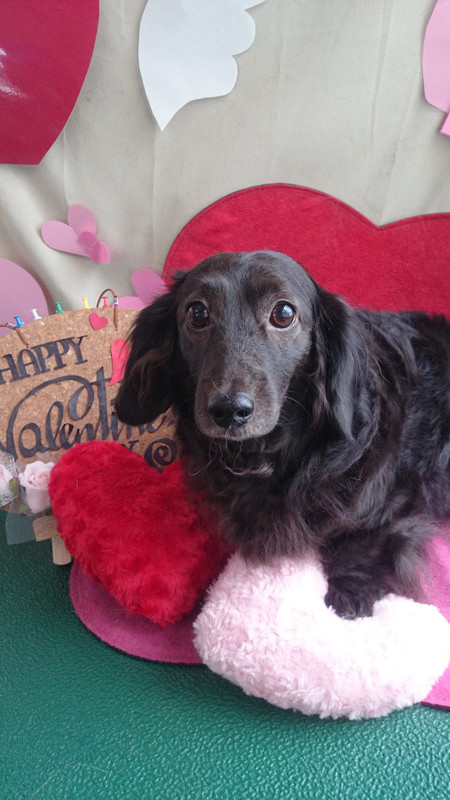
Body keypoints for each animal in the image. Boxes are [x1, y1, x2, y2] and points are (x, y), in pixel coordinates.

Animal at [116, 250, 450, 619]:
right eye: (197, 312)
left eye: (284, 313)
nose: (229, 410)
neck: (264, 454)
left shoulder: (399, 499)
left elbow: (362, 541)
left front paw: (350, 591)